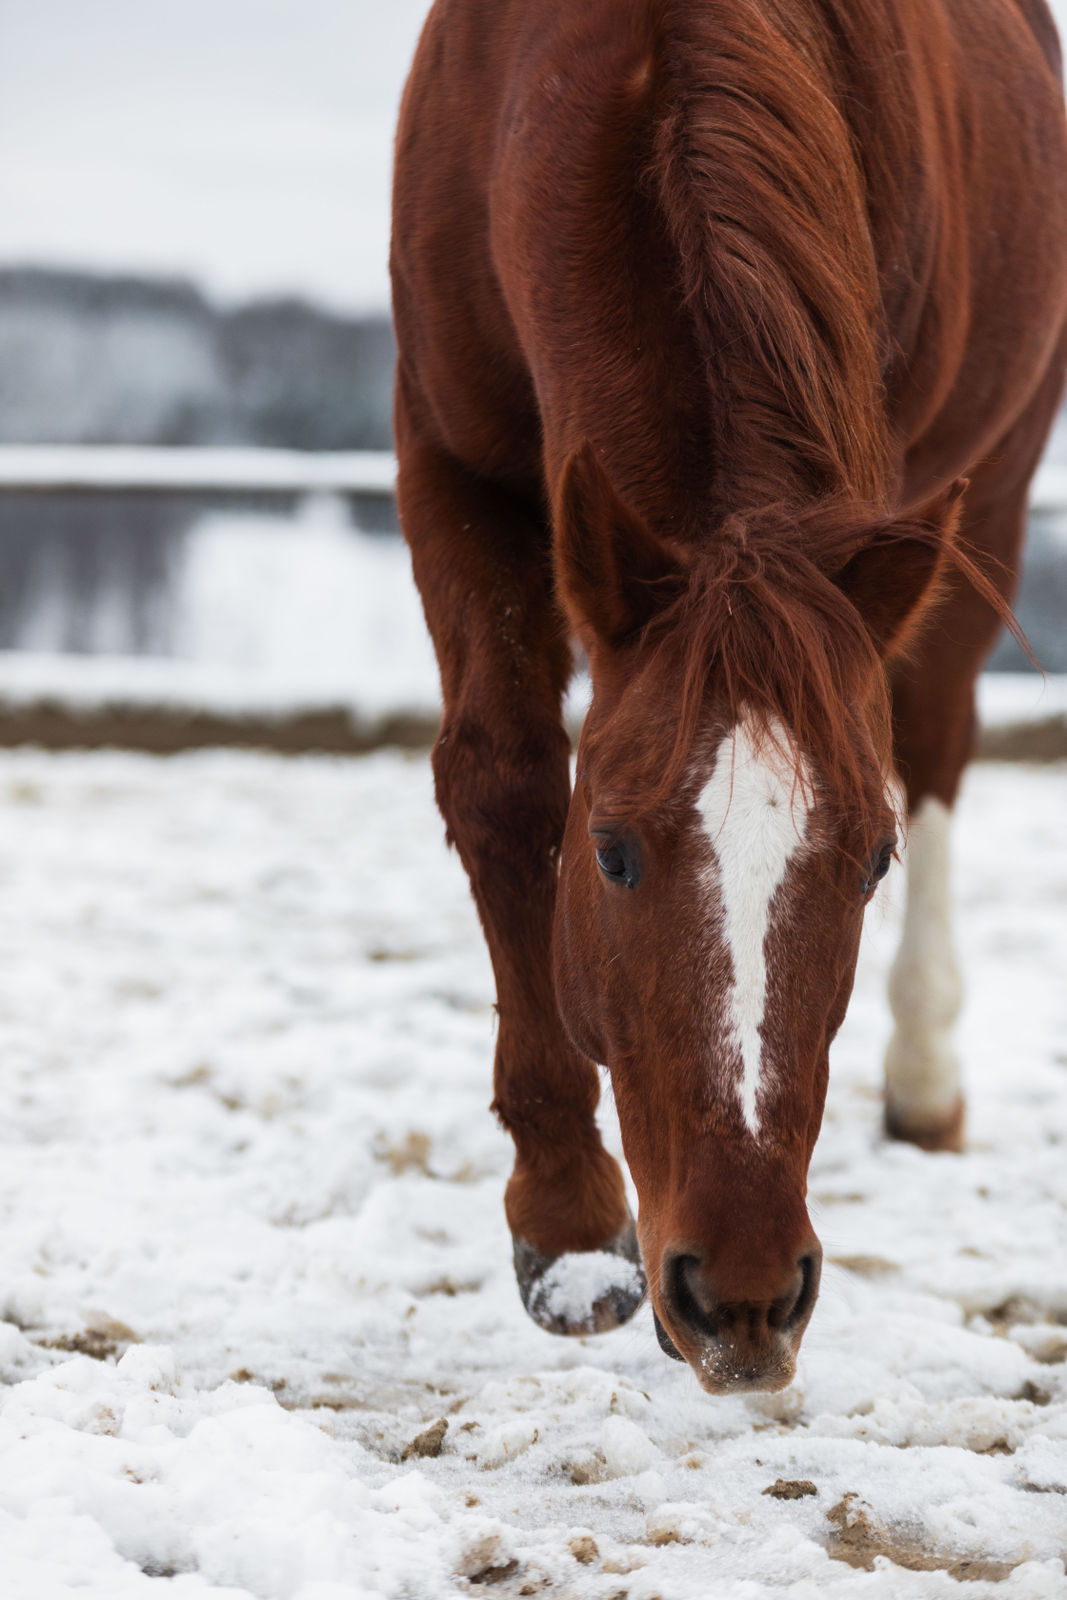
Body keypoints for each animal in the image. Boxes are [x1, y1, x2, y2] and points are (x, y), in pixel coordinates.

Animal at [390, 0, 1067, 1393]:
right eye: (609, 852)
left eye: (867, 863)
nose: (746, 1296)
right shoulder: (448, 450)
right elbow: (500, 779)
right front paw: (566, 1222)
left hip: (991, 473)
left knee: (933, 732)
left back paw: (923, 1072)